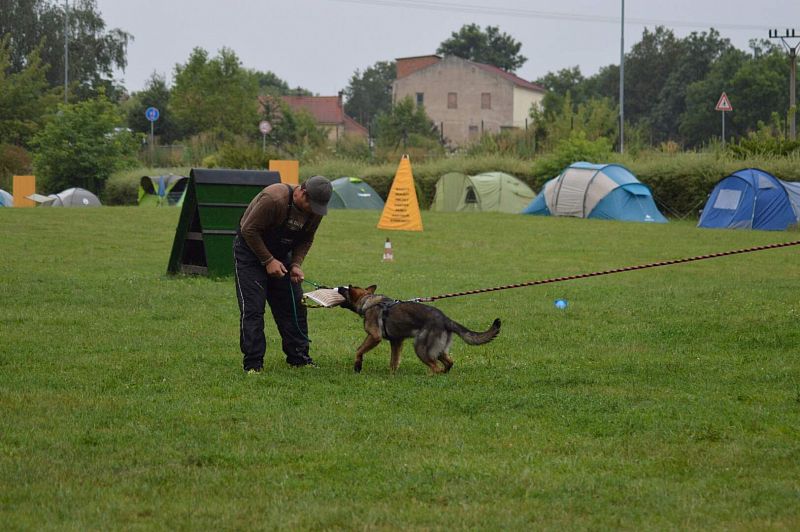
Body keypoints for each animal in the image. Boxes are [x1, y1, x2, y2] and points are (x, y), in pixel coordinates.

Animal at [338, 282, 500, 374]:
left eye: (345, 290)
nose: (339, 287)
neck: (367, 300)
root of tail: (446, 319)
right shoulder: (396, 341)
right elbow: (394, 361)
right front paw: (392, 375)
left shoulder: (374, 336)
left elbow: (359, 350)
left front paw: (357, 366)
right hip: (438, 350)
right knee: (449, 363)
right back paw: (444, 373)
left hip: (420, 348)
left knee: (436, 367)